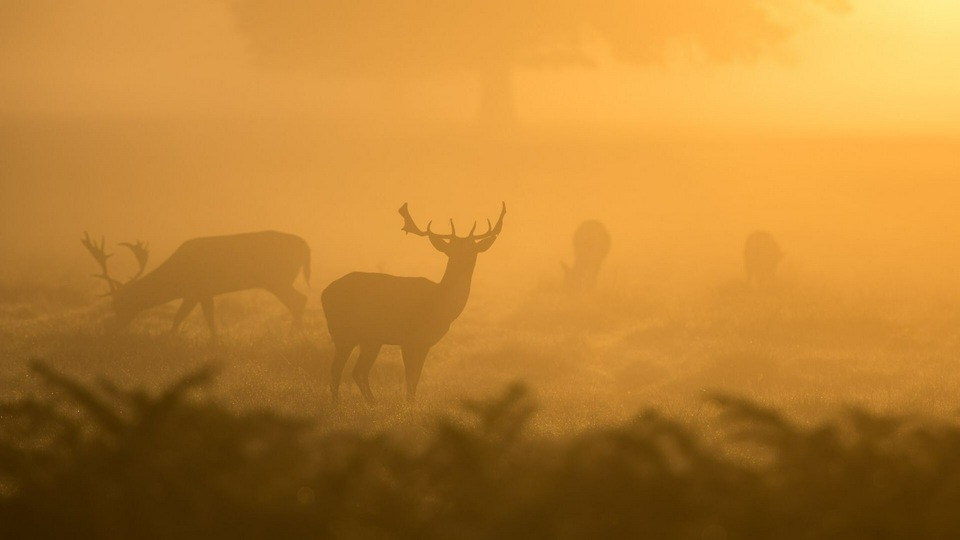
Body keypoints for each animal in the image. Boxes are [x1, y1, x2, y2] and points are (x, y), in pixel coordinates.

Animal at [82, 231, 310, 340]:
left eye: (121, 303)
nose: (111, 330)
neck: (178, 278)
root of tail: (306, 245)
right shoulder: (199, 293)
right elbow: (199, 317)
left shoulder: (200, 289)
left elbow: (186, 317)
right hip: (279, 280)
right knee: (300, 300)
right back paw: (296, 334)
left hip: (277, 279)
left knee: (299, 300)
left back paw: (292, 336)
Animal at [320, 201, 506, 400]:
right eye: (451, 249)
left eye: (473, 249)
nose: (464, 263)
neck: (440, 303)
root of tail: (324, 293)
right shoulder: (410, 338)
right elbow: (410, 378)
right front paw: (409, 403)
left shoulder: (425, 342)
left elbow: (415, 379)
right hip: (343, 332)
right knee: (337, 370)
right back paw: (338, 403)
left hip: (370, 338)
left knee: (358, 371)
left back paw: (372, 402)